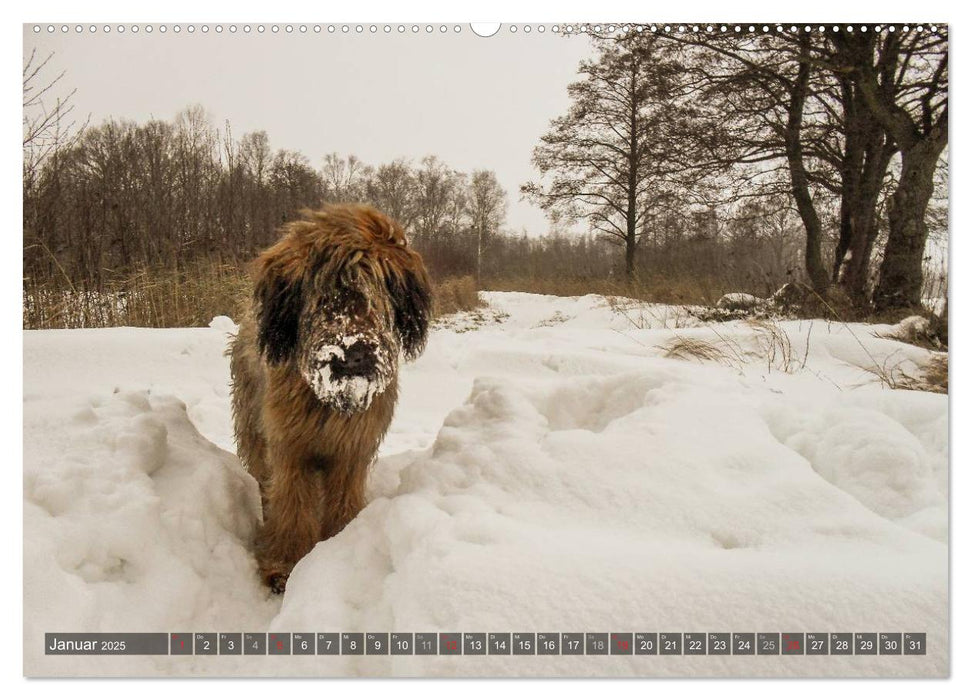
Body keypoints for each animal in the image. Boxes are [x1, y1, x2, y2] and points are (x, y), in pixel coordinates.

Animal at [230, 205, 430, 592]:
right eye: (323, 296)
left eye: (375, 290)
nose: (352, 355)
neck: (331, 400)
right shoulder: (290, 448)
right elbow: (291, 506)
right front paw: (285, 565)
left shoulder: (351, 450)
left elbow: (343, 502)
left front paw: (340, 547)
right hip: (252, 425)